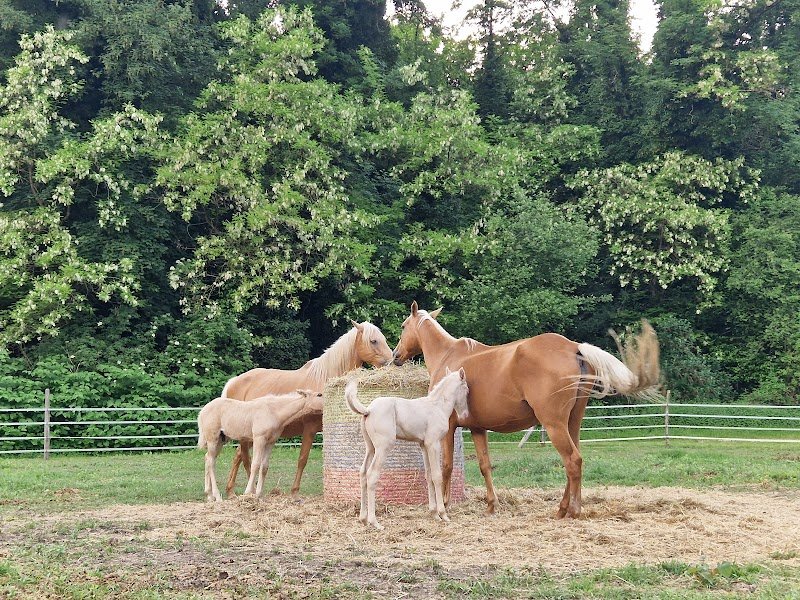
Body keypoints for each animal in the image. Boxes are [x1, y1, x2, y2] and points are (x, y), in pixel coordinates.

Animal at [221, 320, 394, 498]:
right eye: (373, 341)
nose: (391, 362)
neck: (323, 379)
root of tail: (234, 382)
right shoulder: (310, 430)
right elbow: (302, 459)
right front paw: (294, 492)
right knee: (243, 458)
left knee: (238, 457)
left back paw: (232, 491)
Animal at [391, 302, 661, 518]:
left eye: (403, 326)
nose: (395, 355)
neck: (448, 355)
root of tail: (573, 347)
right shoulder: (478, 429)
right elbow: (485, 465)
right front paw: (491, 505)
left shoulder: (448, 428)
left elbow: (446, 467)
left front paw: (445, 505)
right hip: (572, 423)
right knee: (576, 460)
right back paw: (566, 507)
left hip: (554, 425)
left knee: (572, 461)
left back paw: (570, 511)